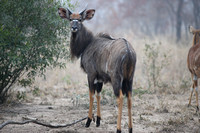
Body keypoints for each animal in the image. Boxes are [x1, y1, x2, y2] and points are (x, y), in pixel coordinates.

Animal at [57, 5, 136, 133]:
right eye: (70, 19)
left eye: (80, 19)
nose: (74, 28)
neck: (87, 44)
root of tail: (128, 51)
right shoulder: (100, 78)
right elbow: (98, 94)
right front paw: (98, 121)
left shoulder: (91, 74)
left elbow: (91, 95)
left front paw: (88, 121)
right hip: (129, 79)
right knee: (129, 97)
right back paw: (130, 129)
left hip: (116, 79)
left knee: (120, 97)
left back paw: (118, 129)